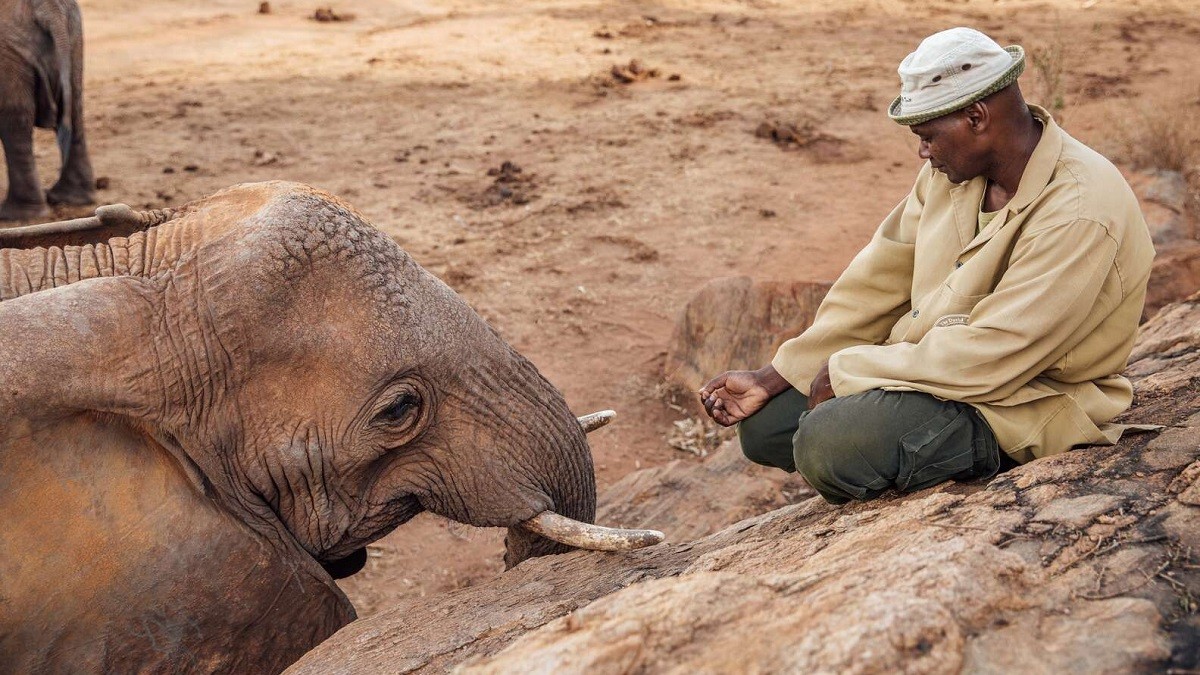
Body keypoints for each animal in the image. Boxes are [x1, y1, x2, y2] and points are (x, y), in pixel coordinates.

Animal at [0, 0, 94, 220]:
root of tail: (46, 7)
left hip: (8, 50)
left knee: (15, 120)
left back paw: (17, 214)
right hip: (74, 36)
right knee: (74, 105)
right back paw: (69, 198)